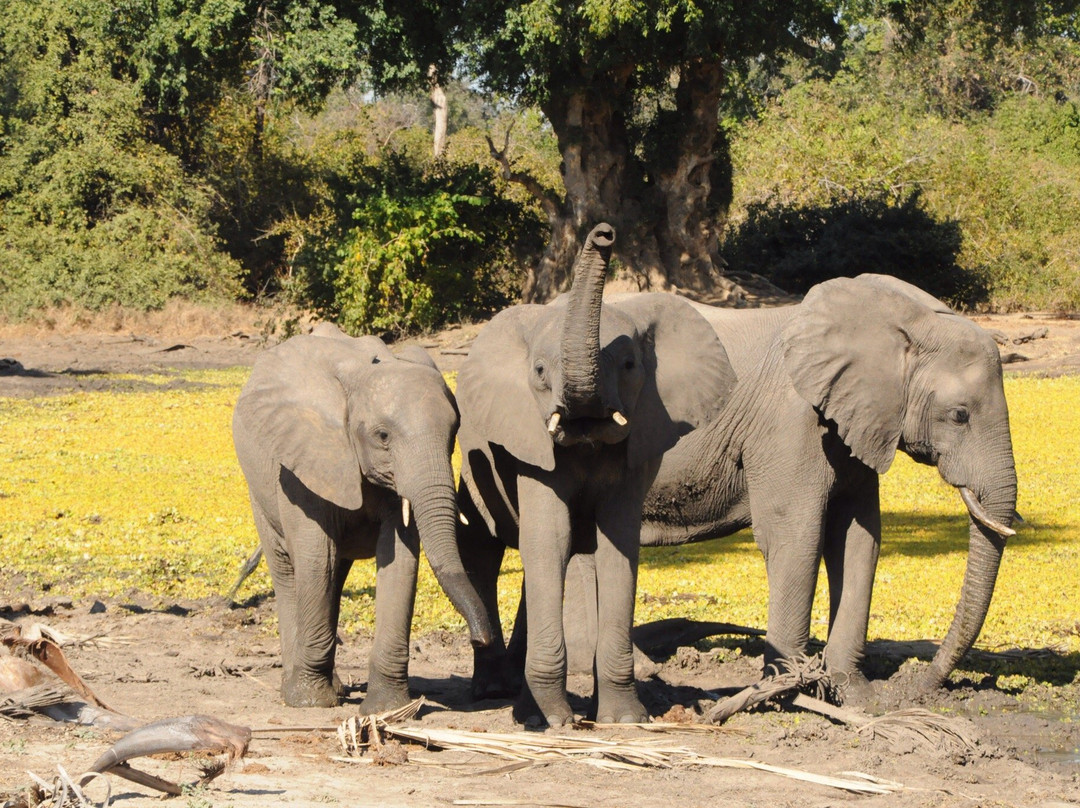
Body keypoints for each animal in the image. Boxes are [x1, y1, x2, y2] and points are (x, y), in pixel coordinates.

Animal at [236, 324, 494, 708]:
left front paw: (390, 709)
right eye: (382, 436)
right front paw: (312, 702)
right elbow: (316, 558)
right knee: (289, 569)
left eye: (453, 435)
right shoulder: (303, 461)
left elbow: (400, 559)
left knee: (335, 574)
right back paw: (298, 691)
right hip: (258, 487)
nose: (480, 640)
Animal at [455, 222, 734, 725]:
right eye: (539, 371)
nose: (603, 233)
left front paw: (625, 720)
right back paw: (498, 695)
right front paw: (553, 722)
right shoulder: (531, 448)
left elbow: (616, 542)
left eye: (629, 365)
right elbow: (550, 537)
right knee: (482, 550)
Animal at [630, 273, 1015, 699]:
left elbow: (858, 539)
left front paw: (856, 695)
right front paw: (786, 692)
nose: (920, 689)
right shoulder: (789, 422)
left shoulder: (858, 425)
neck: (907, 319)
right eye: (960, 415)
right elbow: (796, 536)